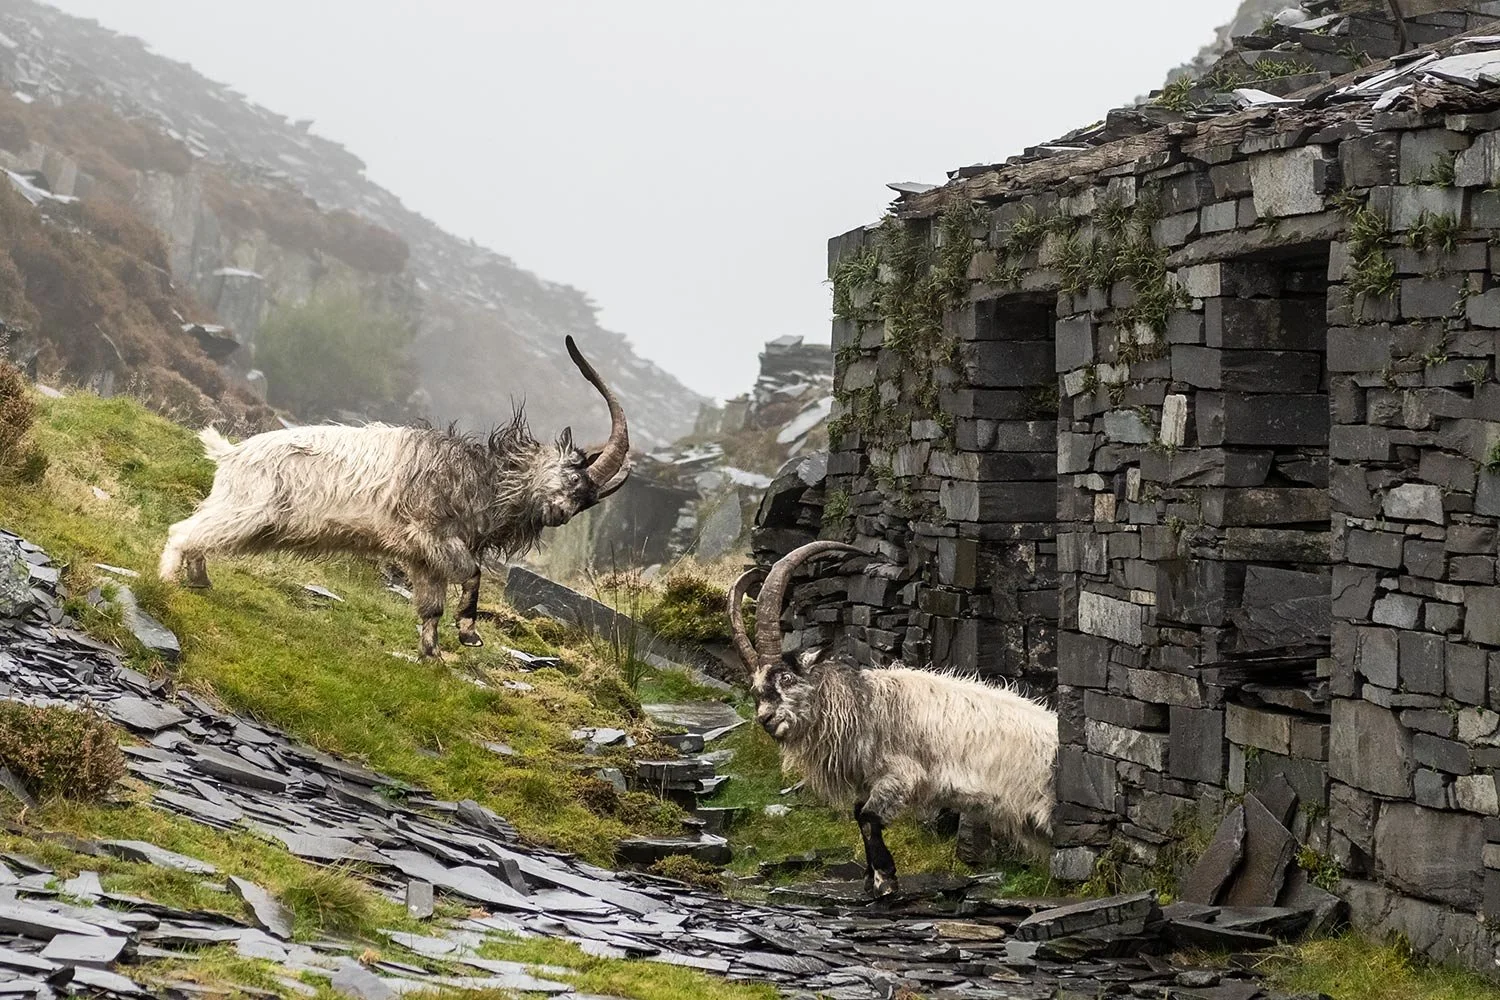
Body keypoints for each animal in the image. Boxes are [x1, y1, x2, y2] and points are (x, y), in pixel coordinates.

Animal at [159, 335, 630, 658]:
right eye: (574, 476)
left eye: (588, 501)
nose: (561, 514)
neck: (483, 478)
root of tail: (230, 453)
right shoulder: (432, 535)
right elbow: (472, 573)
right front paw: (469, 634)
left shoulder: (422, 557)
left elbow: (430, 606)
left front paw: (432, 657)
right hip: (248, 508)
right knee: (183, 530)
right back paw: (167, 580)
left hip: (248, 516)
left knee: (201, 535)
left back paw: (199, 580)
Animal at [729, 541, 1058, 897]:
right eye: (755, 688)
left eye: (787, 678)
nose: (766, 719)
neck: (866, 707)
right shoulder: (868, 780)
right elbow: (859, 813)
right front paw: (871, 879)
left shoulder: (901, 775)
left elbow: (868, 817)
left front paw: (885, 880)